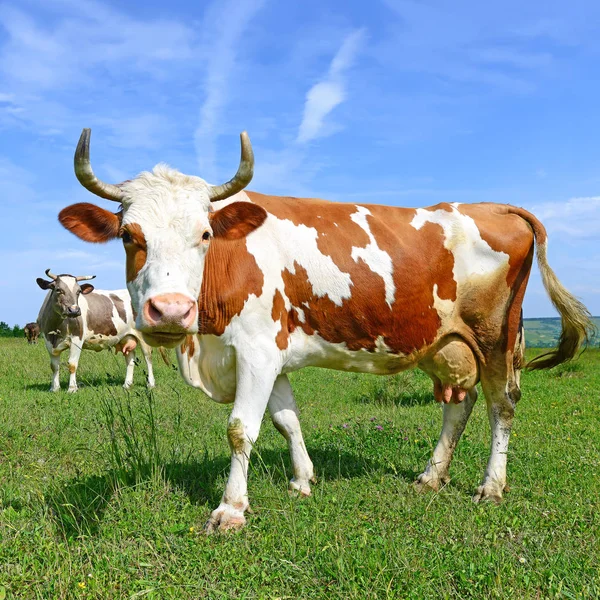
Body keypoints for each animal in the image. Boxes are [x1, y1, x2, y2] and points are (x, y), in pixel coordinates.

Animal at [57, 130, 596, 528]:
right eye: (129, 236)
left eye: (205, 234)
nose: (170, 311)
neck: (204, 345)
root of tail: (495, 206)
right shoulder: (272, 354)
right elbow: (286, 420)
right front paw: (302, 480)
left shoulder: (256, 349)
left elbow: (240, 429)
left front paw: (231, 509)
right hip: (444, 342)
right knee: (457, 407)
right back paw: (431, 476)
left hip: (497, 337)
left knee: (501, 405)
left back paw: (491, 485)